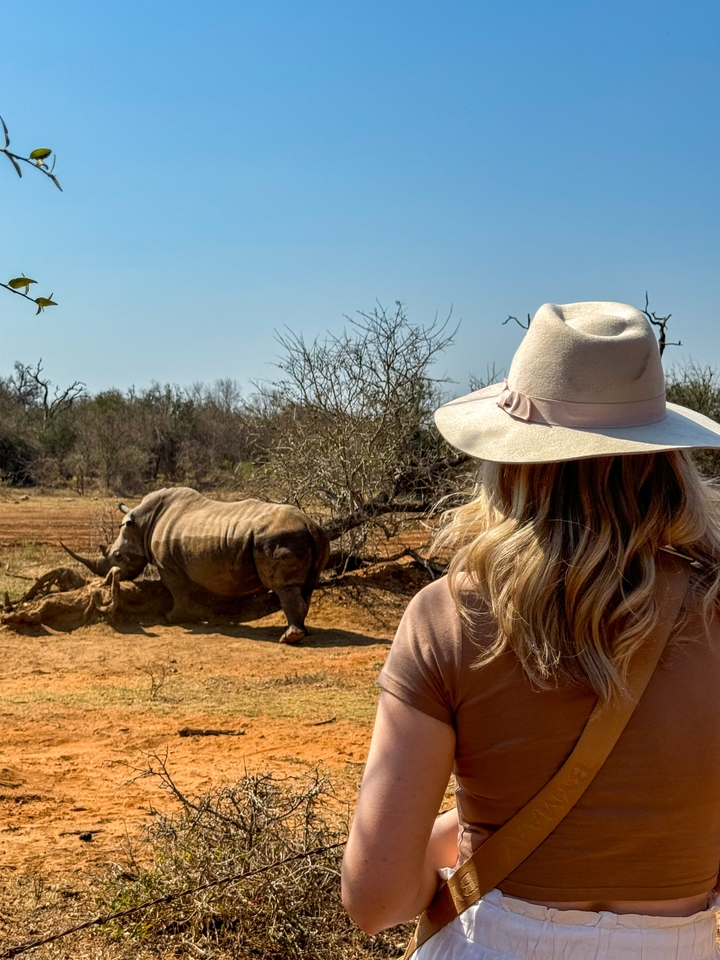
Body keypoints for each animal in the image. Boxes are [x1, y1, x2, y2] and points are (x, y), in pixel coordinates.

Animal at [62, 487, 330, 643]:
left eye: (117, 556)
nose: (106, 575)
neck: (142, 523)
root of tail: (310, 524)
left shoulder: (167, 566)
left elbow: (177, 591)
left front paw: (172, 618)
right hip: (316, 537)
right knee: (307, 586)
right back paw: (301, 632)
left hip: (280, 538)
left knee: (285, 587)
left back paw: (290, 638)